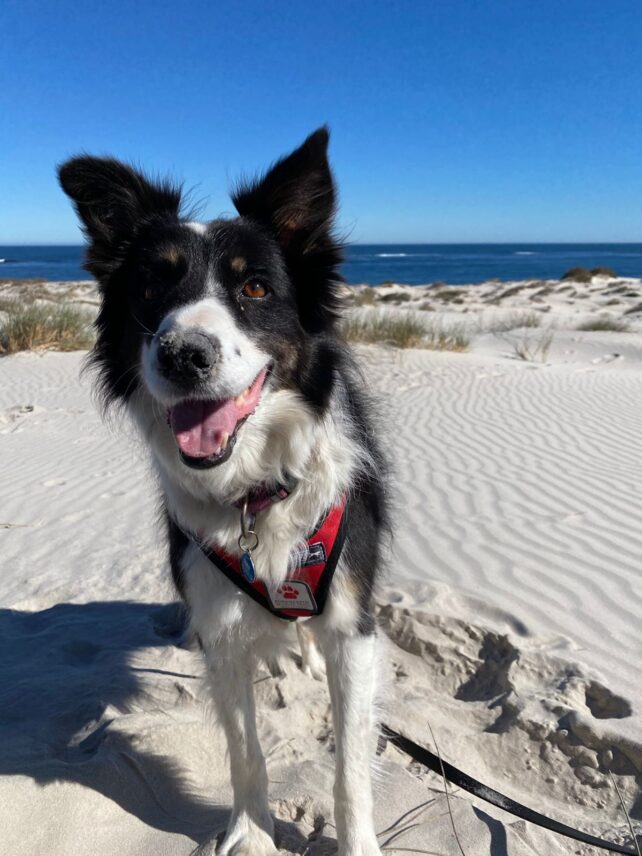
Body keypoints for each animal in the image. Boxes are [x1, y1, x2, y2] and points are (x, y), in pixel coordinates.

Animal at [60, 129, 388, 856]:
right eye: (152, 286)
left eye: (256, 287)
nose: (184, 354)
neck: (253, 492)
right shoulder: (222, 626)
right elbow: (245, 750)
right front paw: (251, 835)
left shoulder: (351, 616)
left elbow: (351, 763)